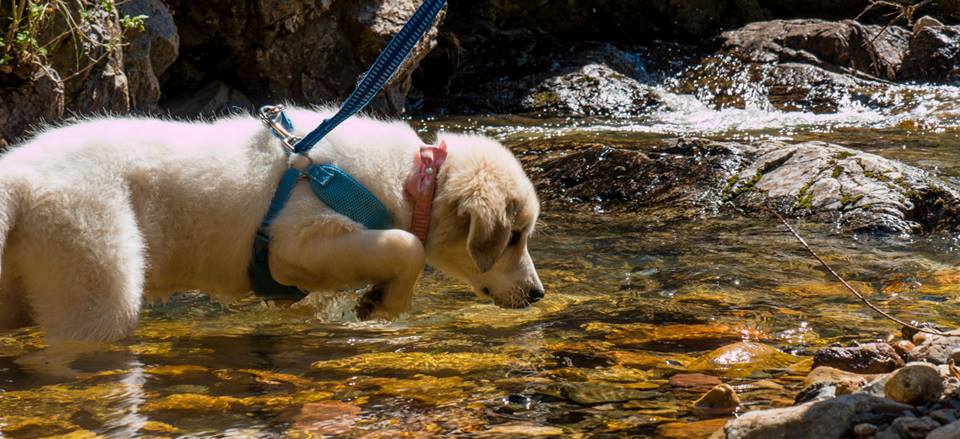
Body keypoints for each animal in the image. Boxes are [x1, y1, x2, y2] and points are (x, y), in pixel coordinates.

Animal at [0, 108, 540, 342]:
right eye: (513, 237)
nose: (537, 295)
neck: (414, 180)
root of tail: (19, 178)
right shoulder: (294, 241)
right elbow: (408, 245)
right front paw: (382, 305)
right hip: (96, 271)